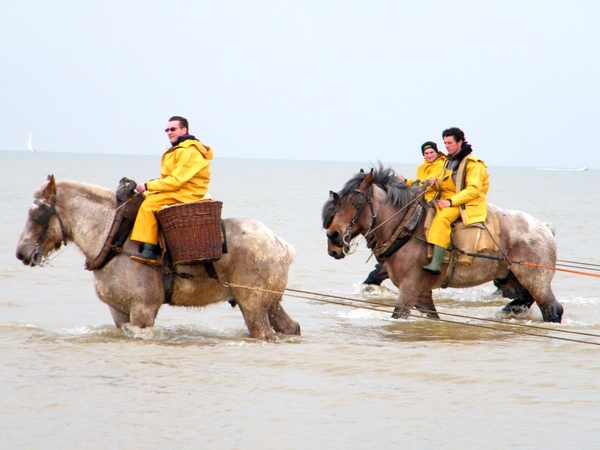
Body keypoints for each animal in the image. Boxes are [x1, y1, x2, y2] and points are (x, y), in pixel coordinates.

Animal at [16, 176, 302, 342]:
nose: (21, 252)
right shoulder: (118, 311)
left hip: (252, 305)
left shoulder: (143, 311)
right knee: (290, 327)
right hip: (270, 303)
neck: (115, 235)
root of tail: (281, 244)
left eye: (38, 213)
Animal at [324, 165, 564, 324]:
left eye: (356, 202)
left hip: (537, 280)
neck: (406, 228)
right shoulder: (422, 294)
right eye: (338, 202)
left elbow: (399, 314)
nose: (333, 236)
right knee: (525, 298)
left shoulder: (409, 289)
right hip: (511, 276)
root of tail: (544, 229)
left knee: (553, 309)